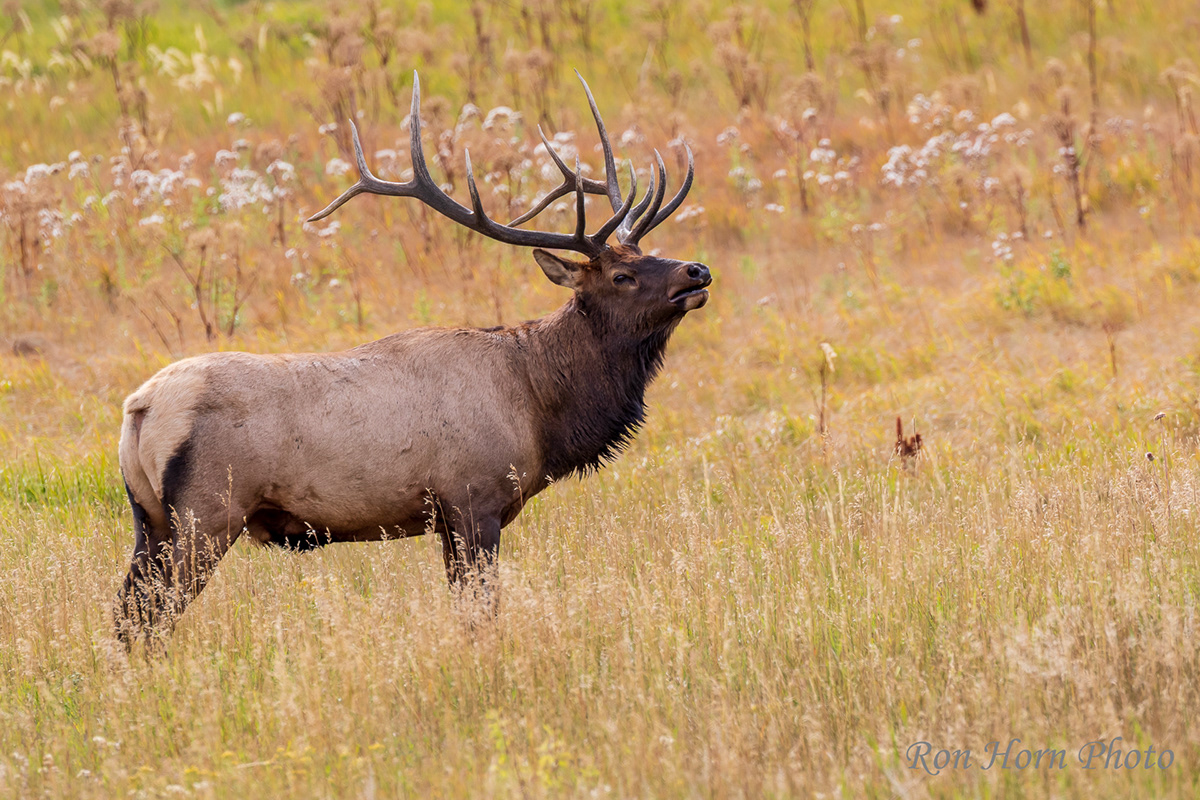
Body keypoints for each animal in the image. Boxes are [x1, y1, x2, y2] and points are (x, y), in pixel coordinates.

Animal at [115, 70, 705, 642]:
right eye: (622, 275)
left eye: (648, 253)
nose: (696, 271)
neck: (539, 408)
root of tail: (140, 406)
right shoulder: (473, 498)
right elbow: (481, 612)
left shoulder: (447, 517)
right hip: (206, 513)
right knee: (152, 613)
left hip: (151, 519)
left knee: (127, 610)